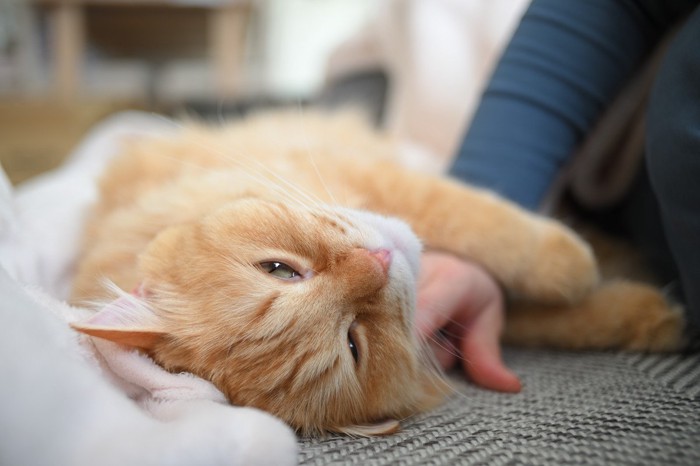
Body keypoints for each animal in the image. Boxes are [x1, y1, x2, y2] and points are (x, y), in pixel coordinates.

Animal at [71, 112, 684, 436]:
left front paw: (568, 258)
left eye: (280, 270)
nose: (379, 263)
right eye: (353, 344)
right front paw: (647, 312)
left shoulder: (385, 181)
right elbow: (555, 317)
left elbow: (484, 223)